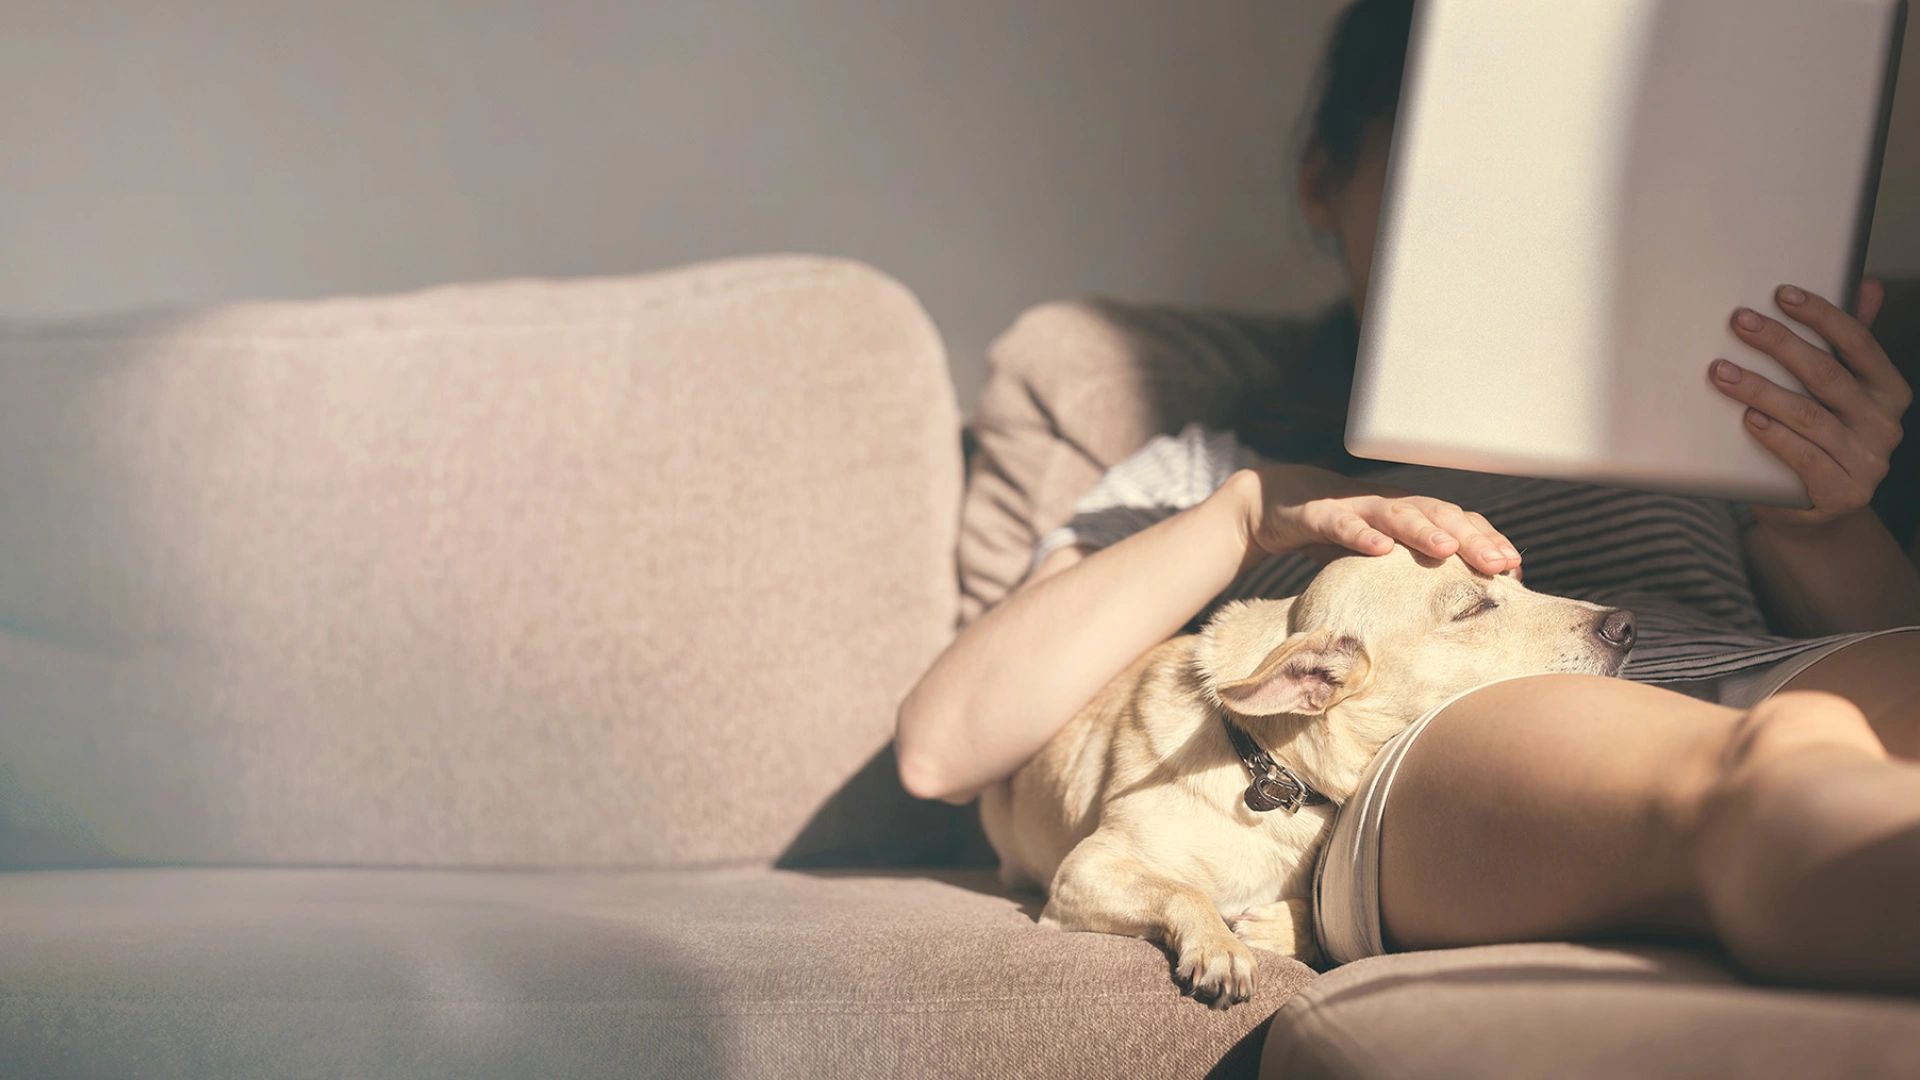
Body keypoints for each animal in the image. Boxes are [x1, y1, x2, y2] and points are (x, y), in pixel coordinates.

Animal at [975, 541, 1635, 1006]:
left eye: (1521, 582)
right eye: (1472, 608)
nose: (1627, 624)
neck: (1272, 768)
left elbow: (1319, 919)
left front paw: (1271, 926)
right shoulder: (1085, 871)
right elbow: (1183, 889)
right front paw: (1220, 944)